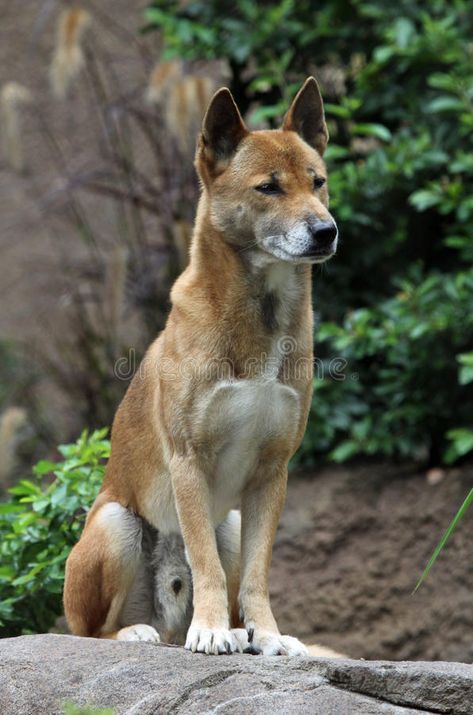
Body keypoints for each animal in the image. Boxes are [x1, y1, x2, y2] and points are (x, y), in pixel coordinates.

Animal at [63, 77, 336, 656]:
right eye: (269, 188)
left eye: (318, 181)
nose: (326, 231)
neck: (259, 322)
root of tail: (166, 624)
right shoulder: (189, 460)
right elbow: (205, 564)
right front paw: (209, 630)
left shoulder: (272, 471)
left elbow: (256, 575)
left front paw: (267, 635)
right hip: (117, 524)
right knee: (89, 631)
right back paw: (140, 631)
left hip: (228, 521)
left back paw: (236, 629)